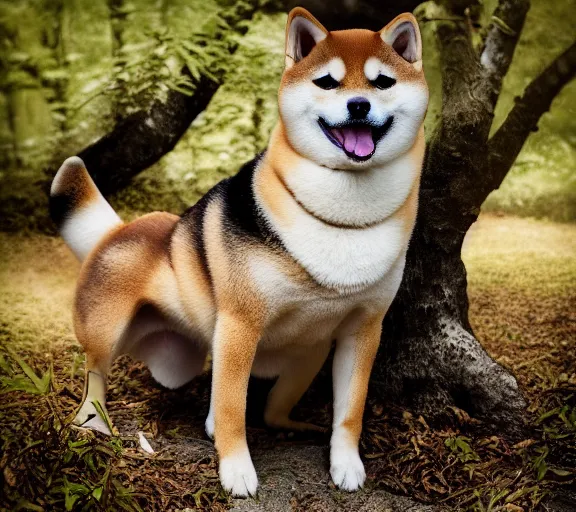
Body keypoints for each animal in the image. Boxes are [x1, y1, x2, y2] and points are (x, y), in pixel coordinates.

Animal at [49, 7, 428, 496]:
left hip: (305, 355)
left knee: (272, 407)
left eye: (383, 82)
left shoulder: (362, 331)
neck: (344, 215)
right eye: (327, 82)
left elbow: (350, 411)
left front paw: (346, 464)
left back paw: (290, 424)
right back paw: (92, 419)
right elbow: (233, 411)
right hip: (106, 329)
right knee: (96, 374)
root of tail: (116, 231)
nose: (359, 105)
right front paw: (236, 471)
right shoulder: (239, 326)